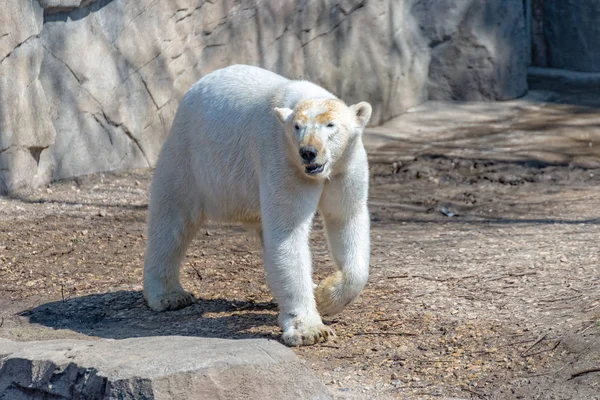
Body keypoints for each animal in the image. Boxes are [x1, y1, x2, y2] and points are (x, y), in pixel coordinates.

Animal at [144, 64, 372, 346]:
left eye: (330, 125)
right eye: (297, 127)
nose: (308, 152)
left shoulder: (345, 167)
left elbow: (346, 217)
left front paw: (325, 296)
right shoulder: (283, 160)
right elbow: (288, 233)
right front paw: (310, 329)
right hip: (190, 155)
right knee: (172, 220)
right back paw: (169, 296)